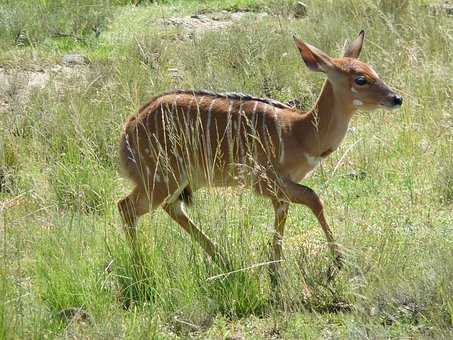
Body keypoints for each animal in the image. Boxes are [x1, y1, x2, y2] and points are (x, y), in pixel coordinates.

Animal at [117, 31, 402, 282]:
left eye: (373, 71)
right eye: (360, 79)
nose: (396, 98)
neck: (299, 132)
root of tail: (127, 132)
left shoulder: (280, 191)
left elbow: (284, 216)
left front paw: (274, 272)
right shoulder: (263, 181)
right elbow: (314, 198)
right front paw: (338, 261)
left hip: (182, 181)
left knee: (170, 208)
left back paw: (226, 261)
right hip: (162, 178)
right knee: (126, 206)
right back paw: (142, 269)